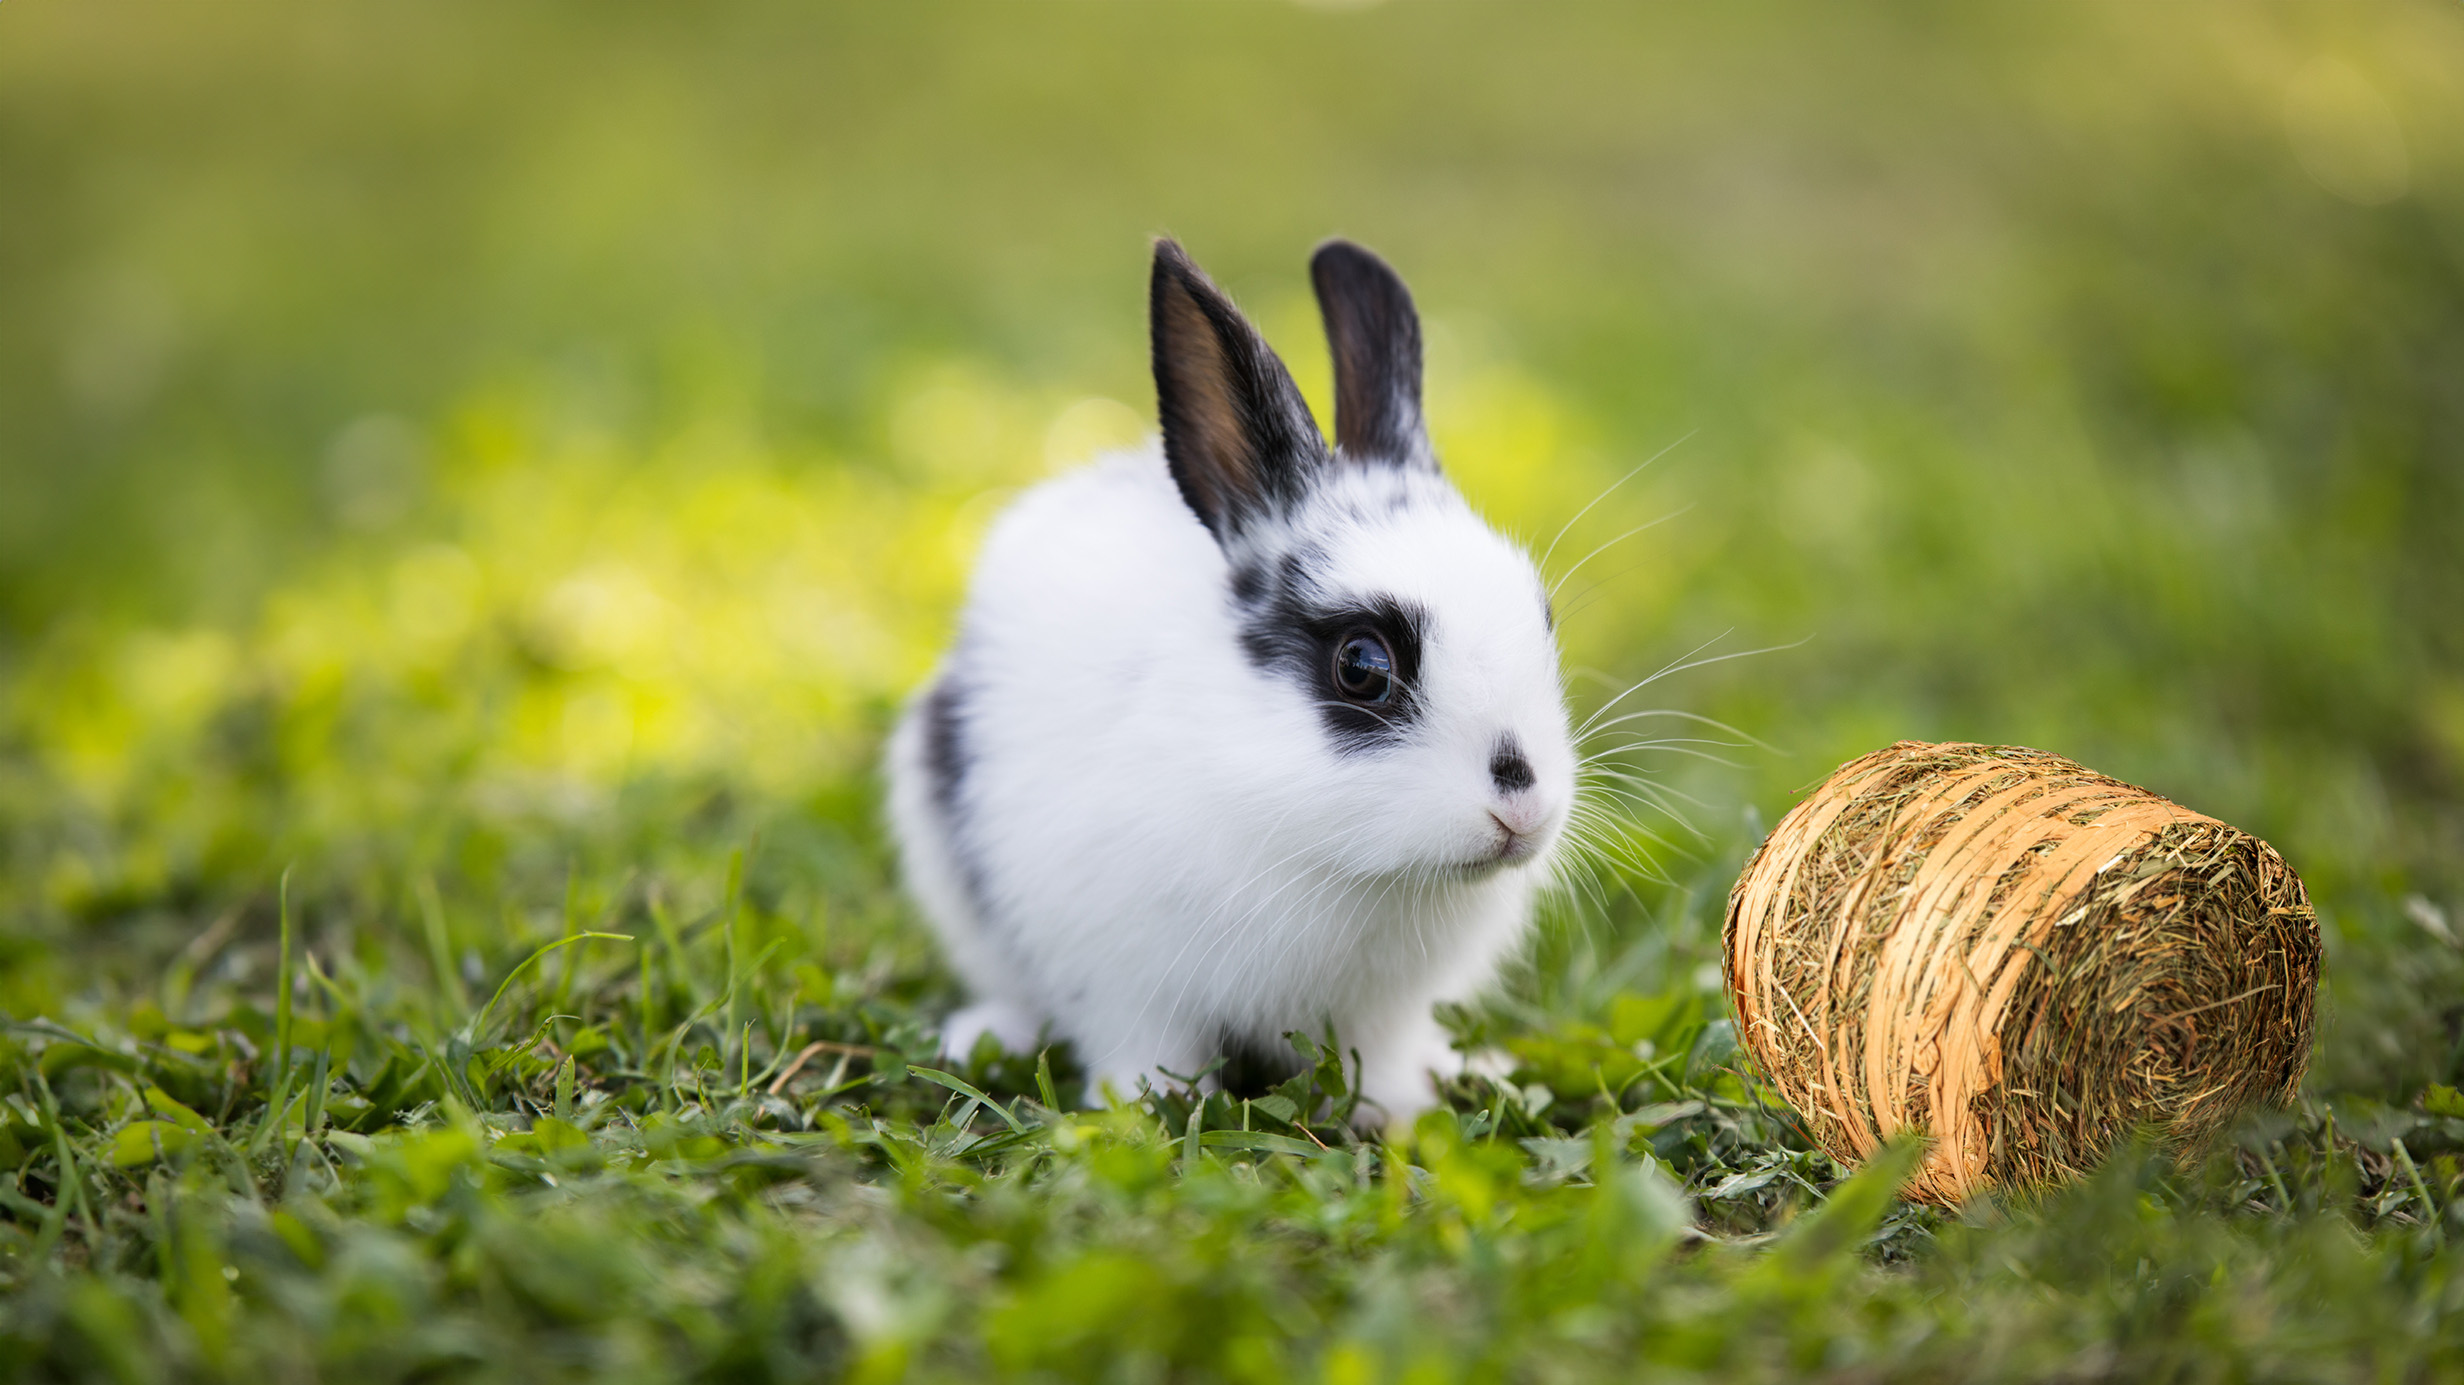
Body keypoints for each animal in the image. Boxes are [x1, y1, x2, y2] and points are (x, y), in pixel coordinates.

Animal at [891, 236, 1576, 1123]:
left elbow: (1382, 1059)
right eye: (1362, 666)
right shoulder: (1130, 983)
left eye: (1544, 617)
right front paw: (1145, 1111)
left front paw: (1402, 1111)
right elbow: (1145, 1051)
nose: (1524, 808)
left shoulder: (1382, 1012)